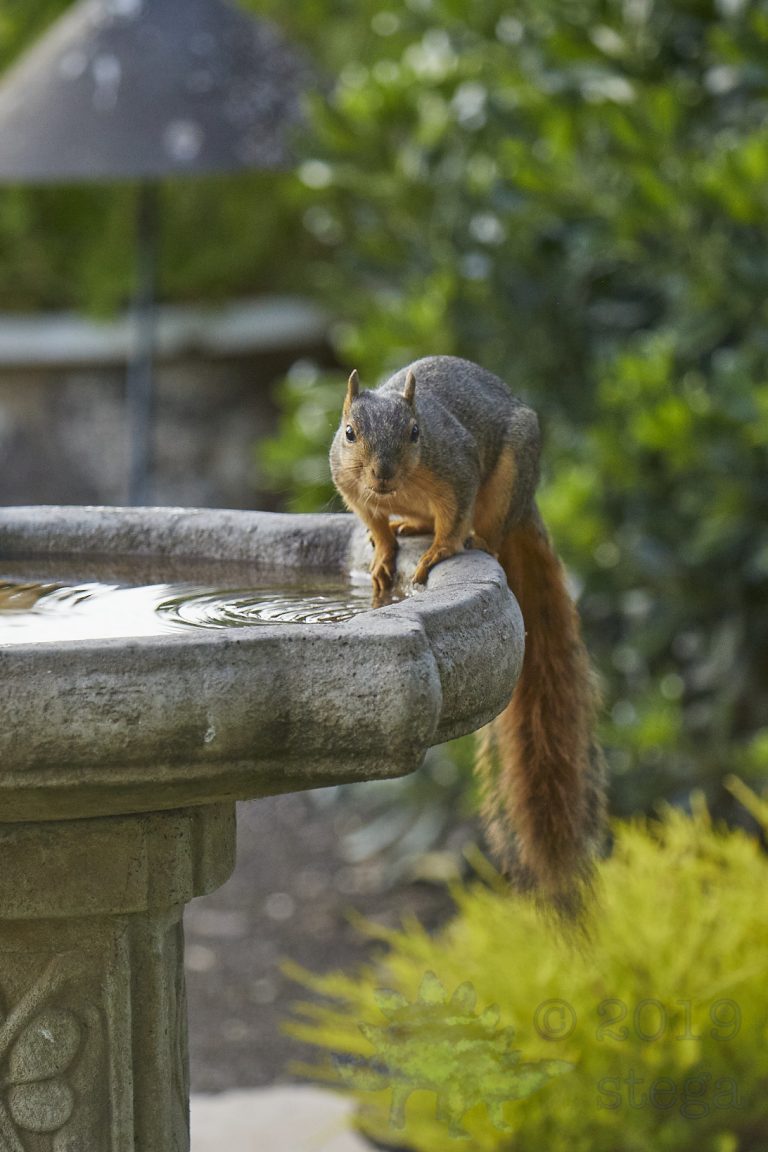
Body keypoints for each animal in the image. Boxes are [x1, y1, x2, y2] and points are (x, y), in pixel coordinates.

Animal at [330, 355, 605, 917]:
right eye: (349, 433)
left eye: (416, 432)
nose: (383, 473)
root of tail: (528, 505)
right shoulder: (353, 488)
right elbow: (374, 521)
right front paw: (383, 552)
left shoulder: (456, 470)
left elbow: (453, 517)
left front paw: (438, 553)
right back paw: (408, 531)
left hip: (509, 481)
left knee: (489, 530)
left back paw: (472, 540)